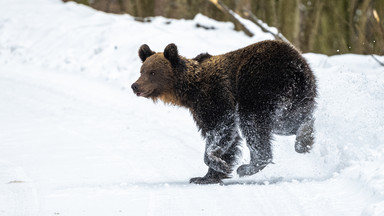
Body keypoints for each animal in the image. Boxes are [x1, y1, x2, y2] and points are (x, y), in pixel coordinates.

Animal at [130, 40, 316, 184]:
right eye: (141, 70)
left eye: (152, 72)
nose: (135, 86)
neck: (189, 91)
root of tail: (296, 66)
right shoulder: (200, 109)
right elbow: (226, 140)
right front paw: (208, 176)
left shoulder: (214, 98)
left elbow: (220, 130)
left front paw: (217, 165)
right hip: (296, 97)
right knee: (289, 121)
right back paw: (304, 139)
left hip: (259, 85)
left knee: (253, 123)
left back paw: (248, 167)